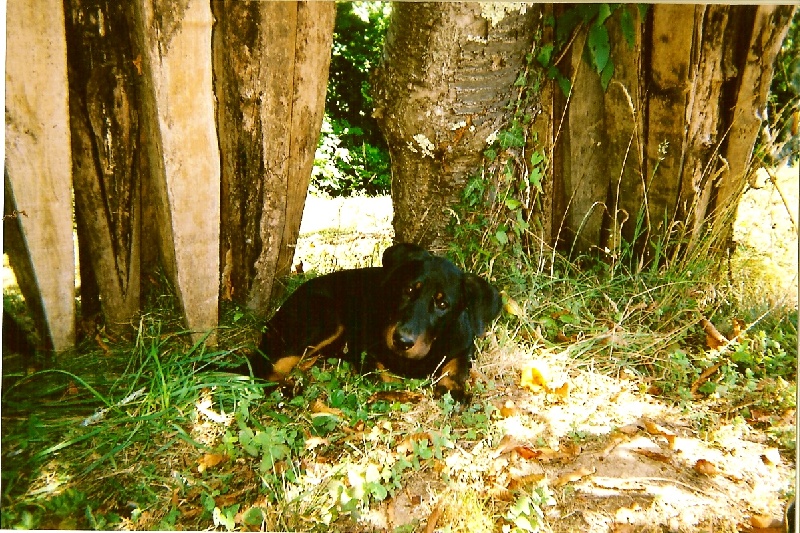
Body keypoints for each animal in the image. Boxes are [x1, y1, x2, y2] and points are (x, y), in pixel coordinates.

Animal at [241, 241, 500, 400]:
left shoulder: (464, 347)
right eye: (408, 290)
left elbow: (455, 369)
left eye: (443, 304)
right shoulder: (364, 351)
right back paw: (285, 386)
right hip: (326, 319)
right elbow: (385, 378)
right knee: (264, 365)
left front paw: (455, 392)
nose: (402, 341)